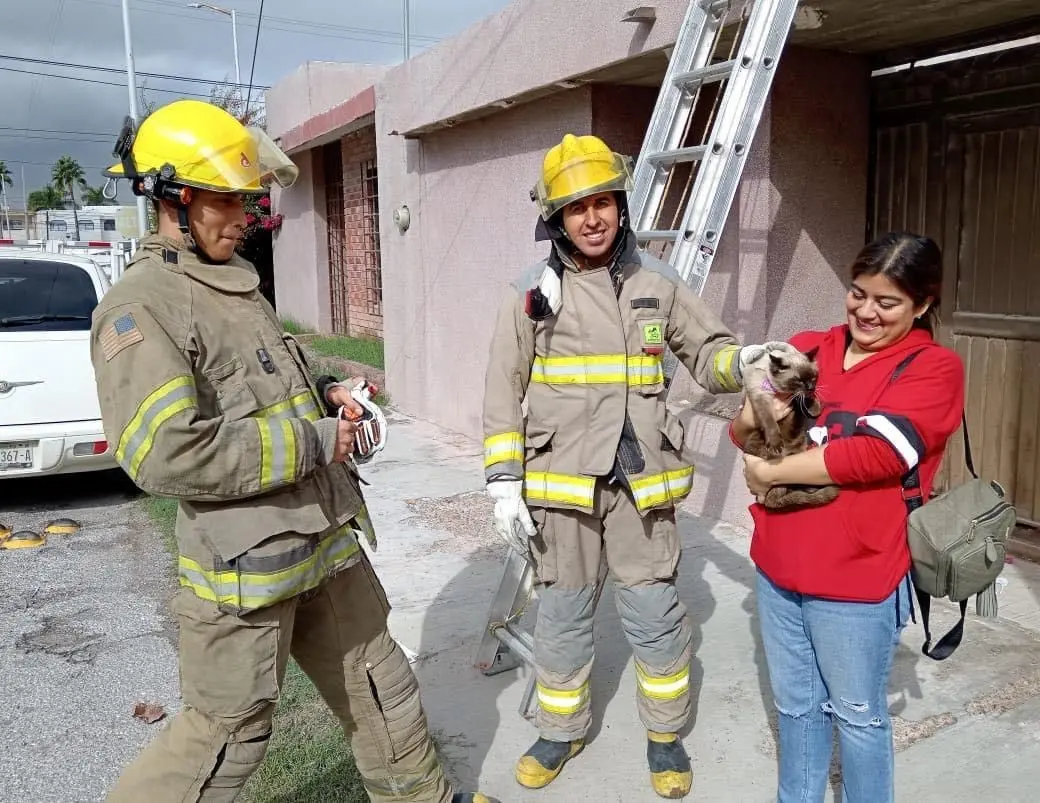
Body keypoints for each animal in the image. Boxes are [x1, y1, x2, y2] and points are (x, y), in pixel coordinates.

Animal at [740, 343, 836, 507]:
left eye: (813, 378)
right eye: (799, 381)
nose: (811, 388)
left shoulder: (797, 397)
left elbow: (805, 399)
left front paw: (814, 407)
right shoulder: (761, 397)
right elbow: (770, 422)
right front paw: (775, 443)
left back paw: (811, 489)